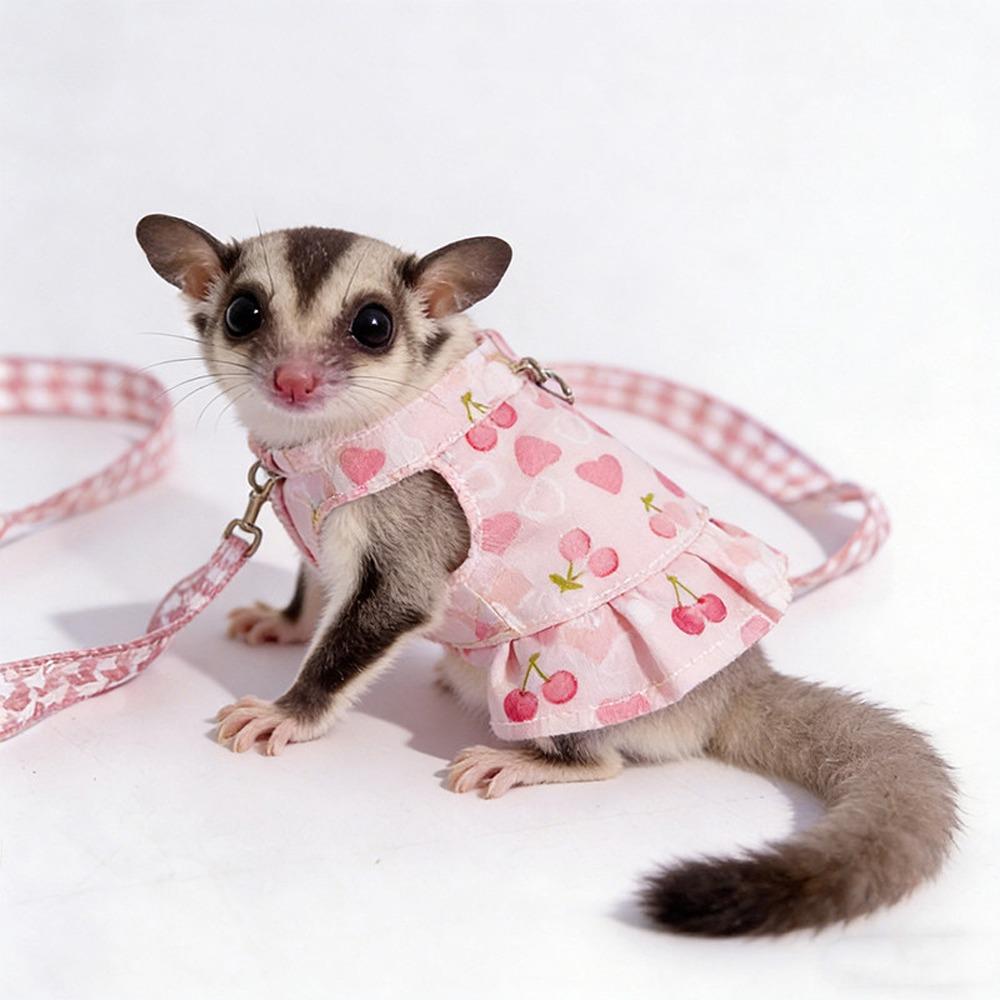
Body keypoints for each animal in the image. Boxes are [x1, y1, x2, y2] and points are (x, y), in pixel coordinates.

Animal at [136, 215, 957, 937]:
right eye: (243, 313)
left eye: (373, 325)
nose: (295, 380)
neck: (318, 449)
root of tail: (734, 684)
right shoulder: (313, 526)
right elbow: (317, 586)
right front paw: (280, 622)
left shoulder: (410, 520)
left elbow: (389, 609)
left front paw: (289, 711)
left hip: (575, 680)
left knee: (603, 762)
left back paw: (527, 761)